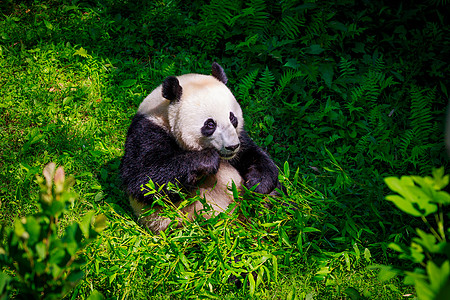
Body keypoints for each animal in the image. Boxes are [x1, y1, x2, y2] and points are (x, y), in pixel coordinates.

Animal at [119, 62, 282, 232]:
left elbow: (252, 154)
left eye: (232, 118)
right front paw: (207, 160)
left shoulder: (239, 138)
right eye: (210, 124)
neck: (165, 116)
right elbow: (143, 180)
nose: (232, 146)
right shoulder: (146, 131)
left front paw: (258, 183)